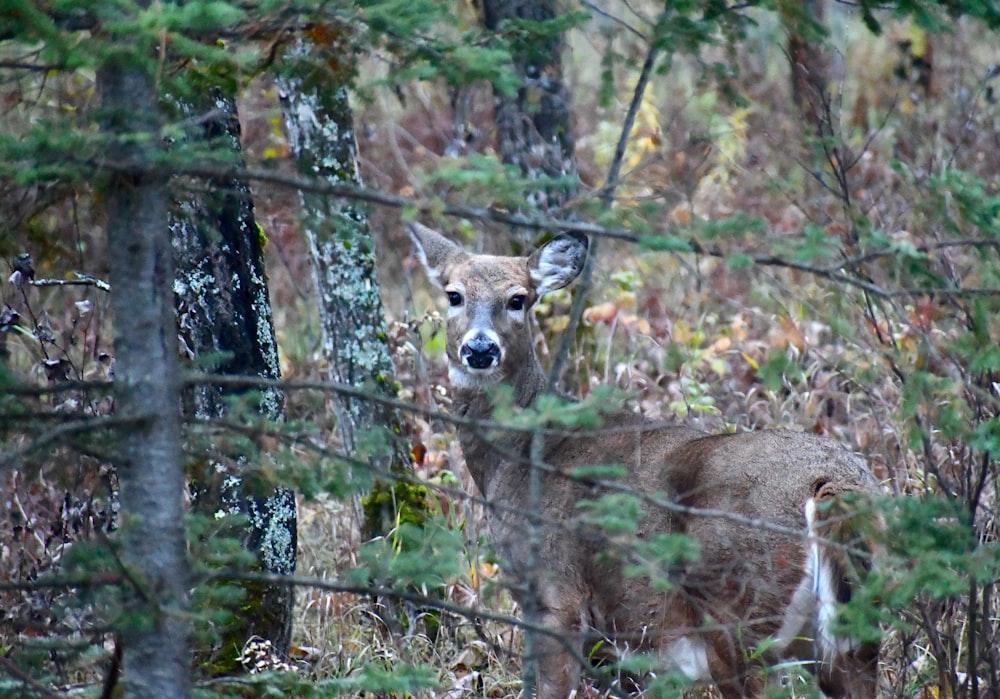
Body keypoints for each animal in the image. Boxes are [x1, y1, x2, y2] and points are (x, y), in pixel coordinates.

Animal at [406, 224, 884, 699]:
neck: (520, 456)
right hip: (853, 633)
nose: (479, 349)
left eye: (518, 298)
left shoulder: (556, 597)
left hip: (740, 616)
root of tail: (829, 485)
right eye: (454, 295)